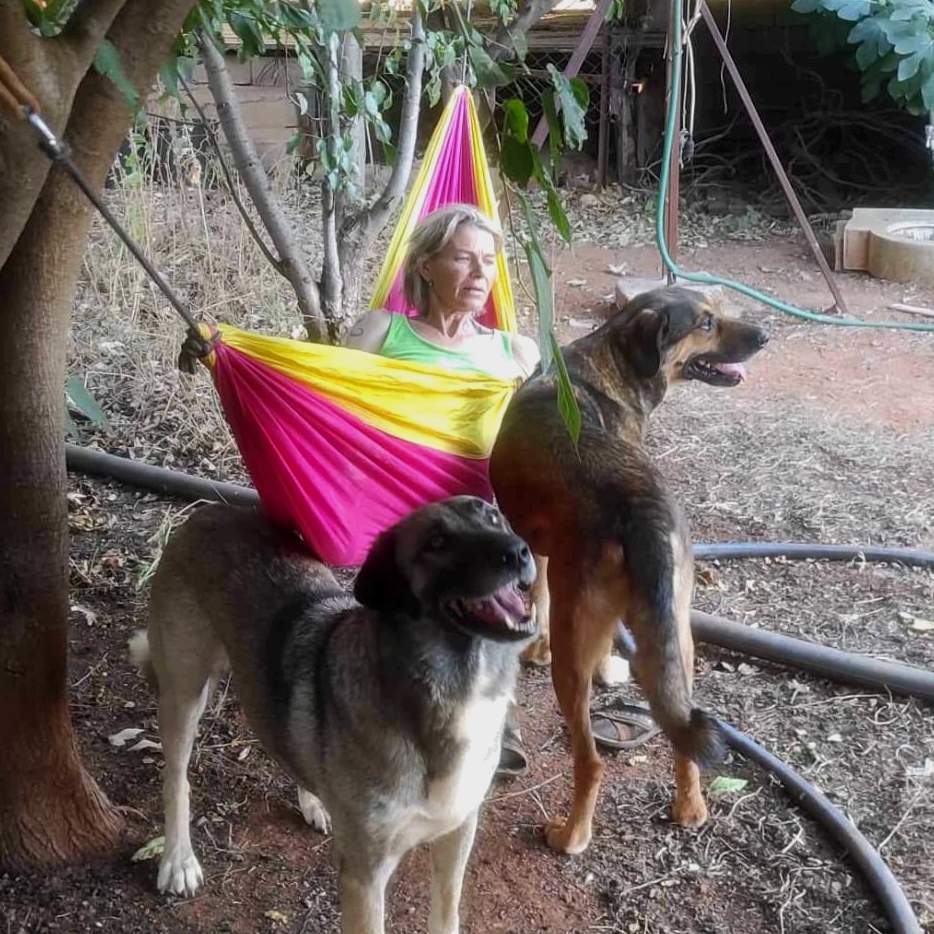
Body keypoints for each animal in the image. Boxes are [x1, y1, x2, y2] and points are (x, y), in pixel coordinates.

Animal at [490, 286, 768, 856]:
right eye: (706, 322)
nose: (764, 336)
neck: (608, 361)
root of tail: (643, 508)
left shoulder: (542, 553)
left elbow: (541, 599)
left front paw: (539, 647)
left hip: (579, 650)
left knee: (591, 758)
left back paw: (570, 835)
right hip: (678, 634)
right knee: (674, 726)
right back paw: (687, 808)